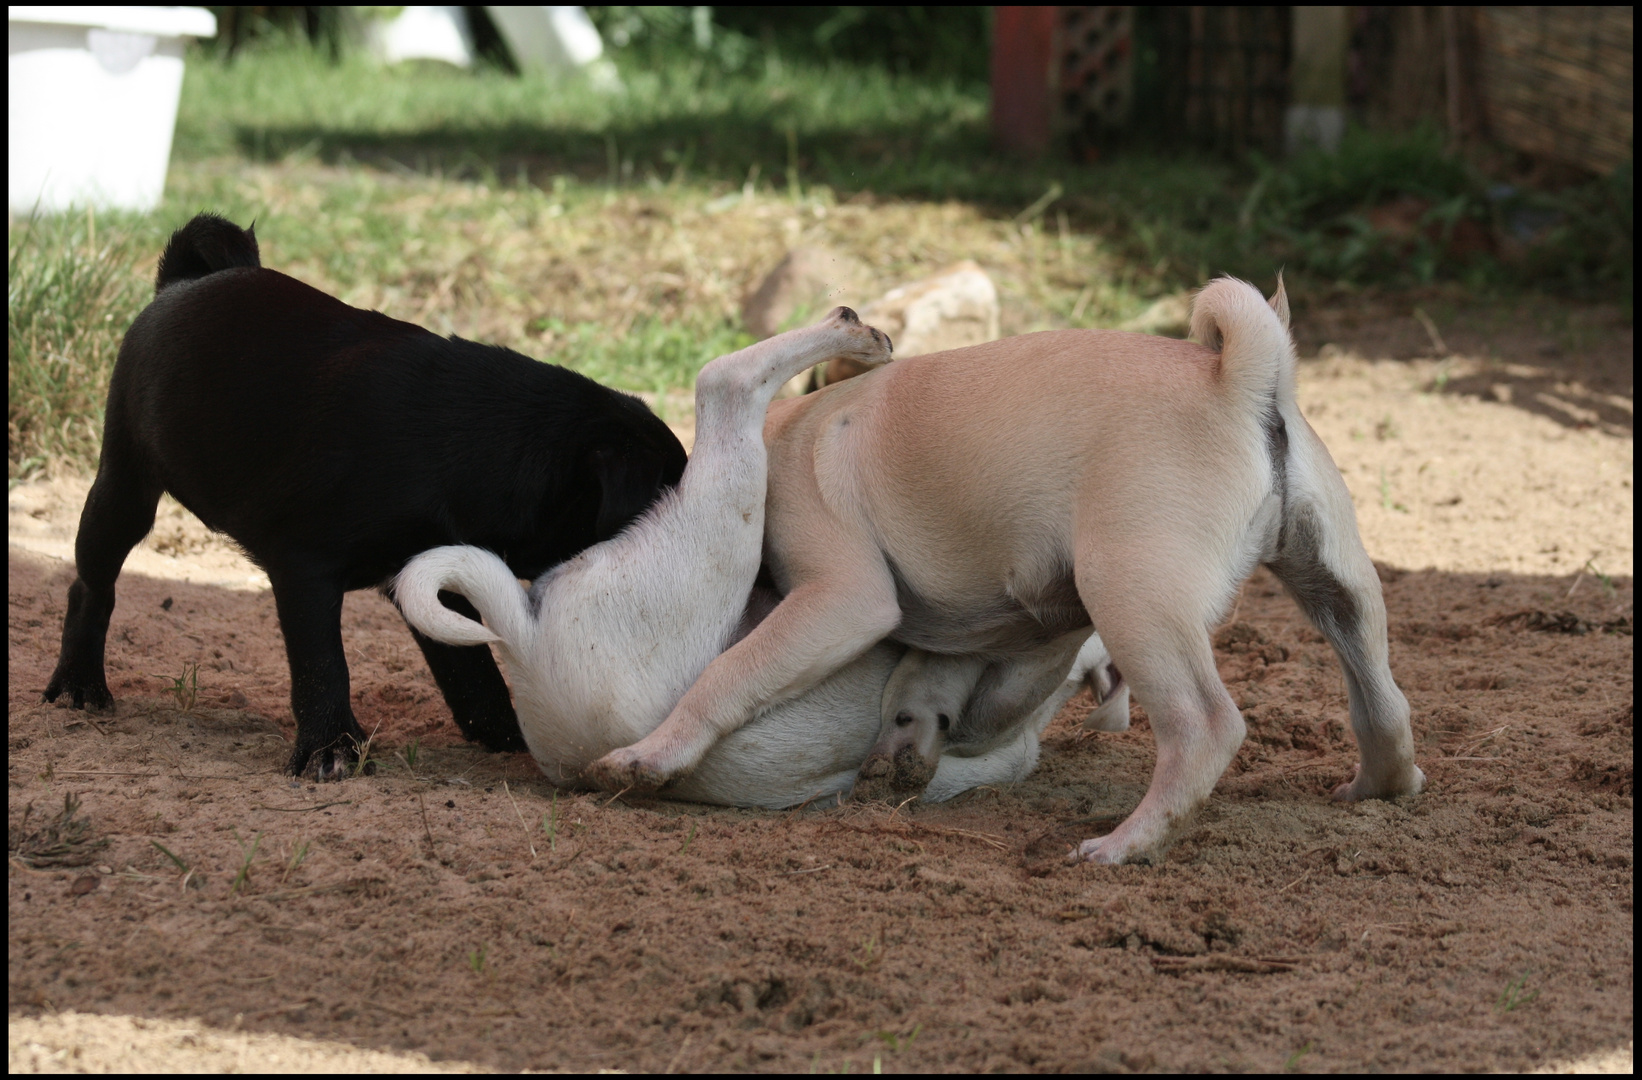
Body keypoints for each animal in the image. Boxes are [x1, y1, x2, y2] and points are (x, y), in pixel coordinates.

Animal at [44, 215, 686, 777]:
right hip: (125, 487)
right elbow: (324, 666)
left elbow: (469, 667)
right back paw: (79, 683)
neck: (476, 439)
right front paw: (331, 748)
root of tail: (186, 282)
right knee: (92, 586)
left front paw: (502, 730)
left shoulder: (429, 574)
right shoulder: (305, 568)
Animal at [591, 279, 1425, 866]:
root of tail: (1239, 378)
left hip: (1133, 595)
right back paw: (1379, 786)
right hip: (1338, 584)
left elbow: (730, 674)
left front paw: (652, 754)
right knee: (1381, 701)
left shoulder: (842, 598)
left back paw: (1129, 843)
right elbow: (945, 683)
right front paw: (913, 745)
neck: (785, 430)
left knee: (1204, 725)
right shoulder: (1018, 634)